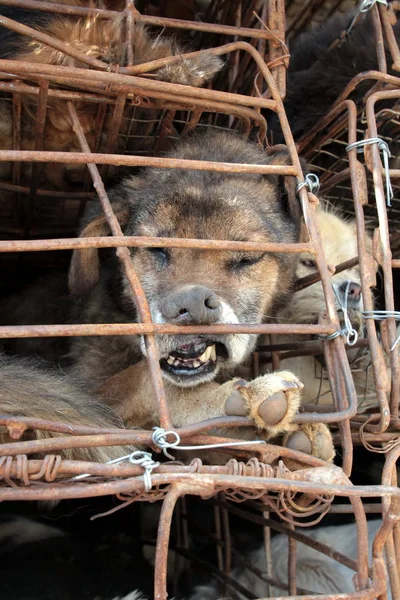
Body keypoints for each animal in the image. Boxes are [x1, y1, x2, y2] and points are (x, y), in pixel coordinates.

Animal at [69, 130, 334, 460]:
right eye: (156, 249)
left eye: (247, 258)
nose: (192, 305)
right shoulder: (85, 393)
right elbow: (143, 379)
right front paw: (230, 399)